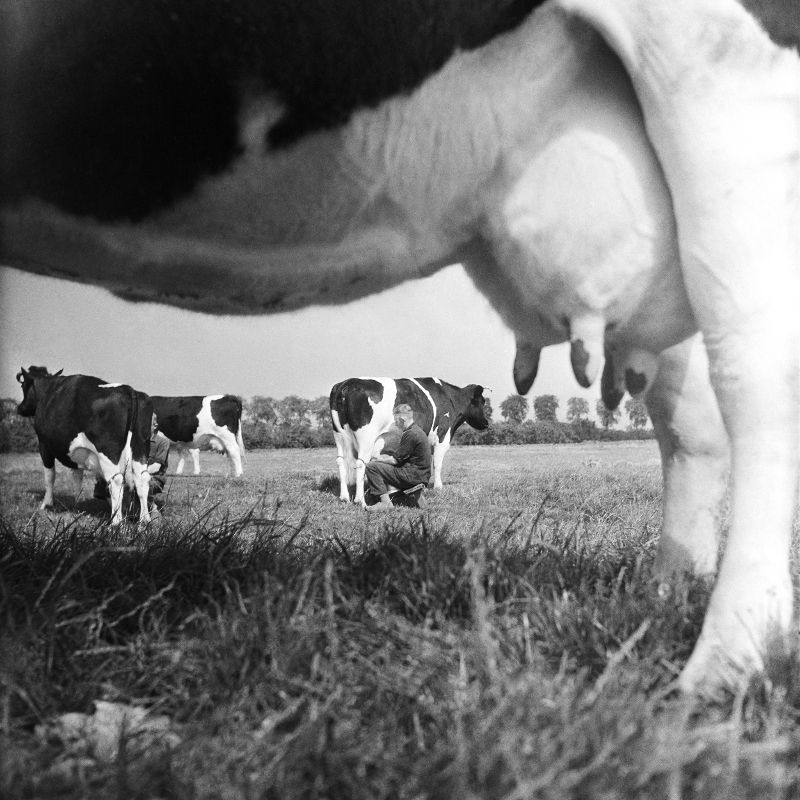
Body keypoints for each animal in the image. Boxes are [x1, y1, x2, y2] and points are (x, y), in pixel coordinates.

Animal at [16, 368, 155, 524]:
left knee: (116, 480)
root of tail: (128, 389)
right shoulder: (76, 452)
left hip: (108, 451)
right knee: (142, 478)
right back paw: (145, 519)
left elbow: (50, 476)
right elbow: (77, 477)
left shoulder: (44, 445)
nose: (20, 408)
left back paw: (116, 522)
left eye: (23, 386)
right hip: (140, 447)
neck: (47, 391)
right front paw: (77, 504)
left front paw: (47, 504)